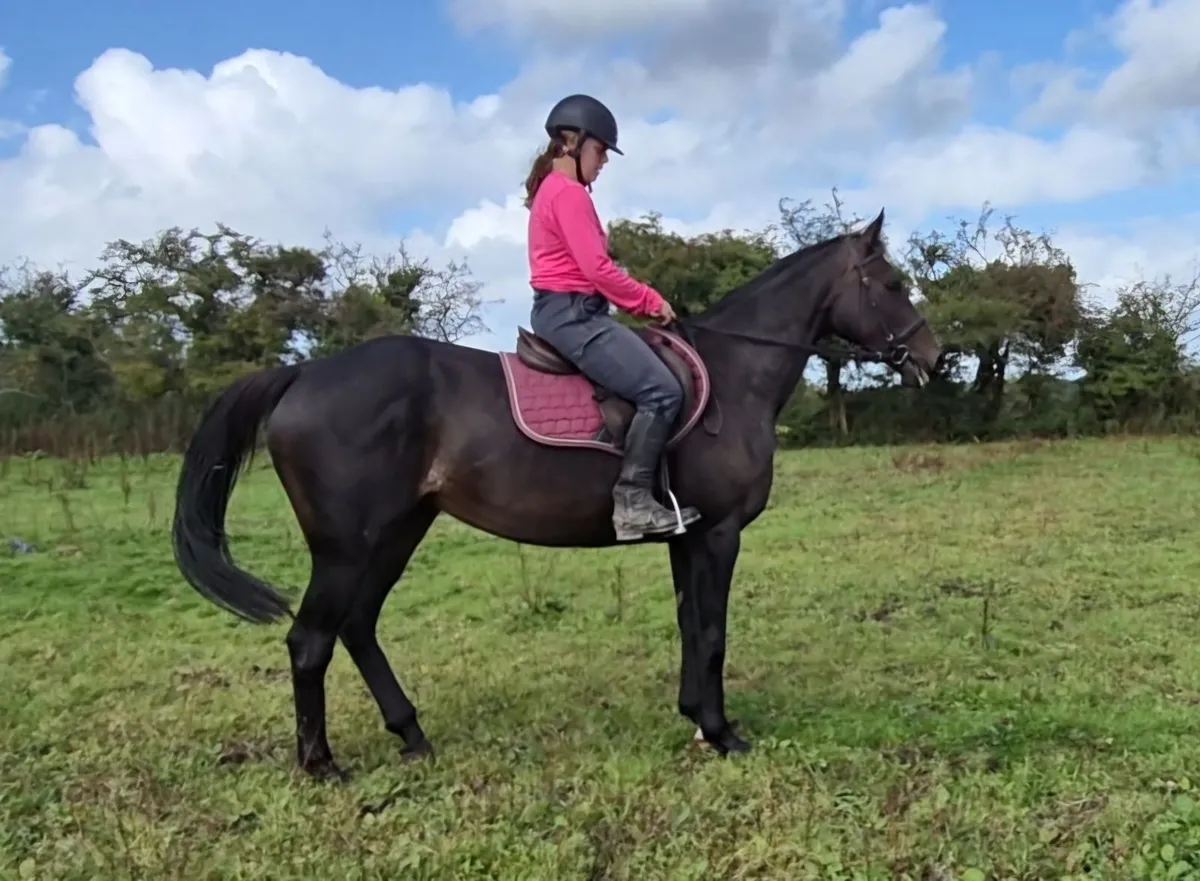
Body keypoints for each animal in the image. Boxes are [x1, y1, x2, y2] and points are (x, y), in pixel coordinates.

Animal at [171, 208, 944, 780]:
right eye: (892, 283)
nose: (933, 358)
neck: (731, 373)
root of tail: (304, 374)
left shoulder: (685, 533)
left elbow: (689, 622)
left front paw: (694, 717)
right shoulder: (720, 532)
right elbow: (714, 630)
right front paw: (723, 733)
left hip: (398, 530)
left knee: (357, 625)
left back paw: (412, 734)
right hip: (345, 545)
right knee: (311, 639)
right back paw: (321, 765)